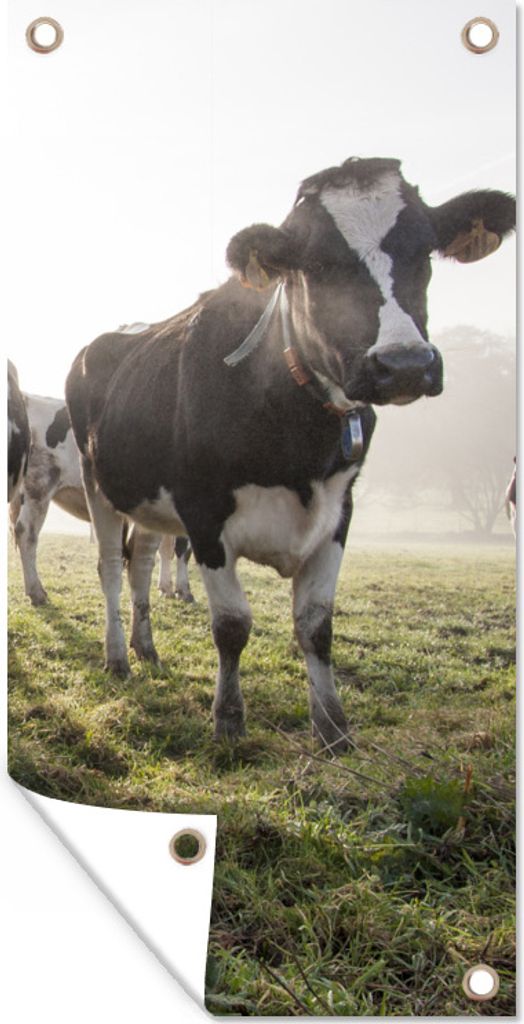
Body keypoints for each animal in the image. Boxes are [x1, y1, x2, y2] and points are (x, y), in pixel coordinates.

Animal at [10, 393, 194, 606]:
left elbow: (165, 548)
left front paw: (166, 588)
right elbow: (182, 550)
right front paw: (184, 590)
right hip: (39, 485)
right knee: (26, 532)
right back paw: (36, 592)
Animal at [65, 156, 515, 753]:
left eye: (423, 251)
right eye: (318, 264)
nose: (404, 364)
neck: (296, 431)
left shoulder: (339, 511)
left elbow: (316, 625)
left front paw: (333, 728)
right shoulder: (204, 513)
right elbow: (232, 625)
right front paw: (229, 721)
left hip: (151, 501)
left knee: (140, 564)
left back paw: (146, 648)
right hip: (100, 484)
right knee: (113, 568)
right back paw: (117, 657)